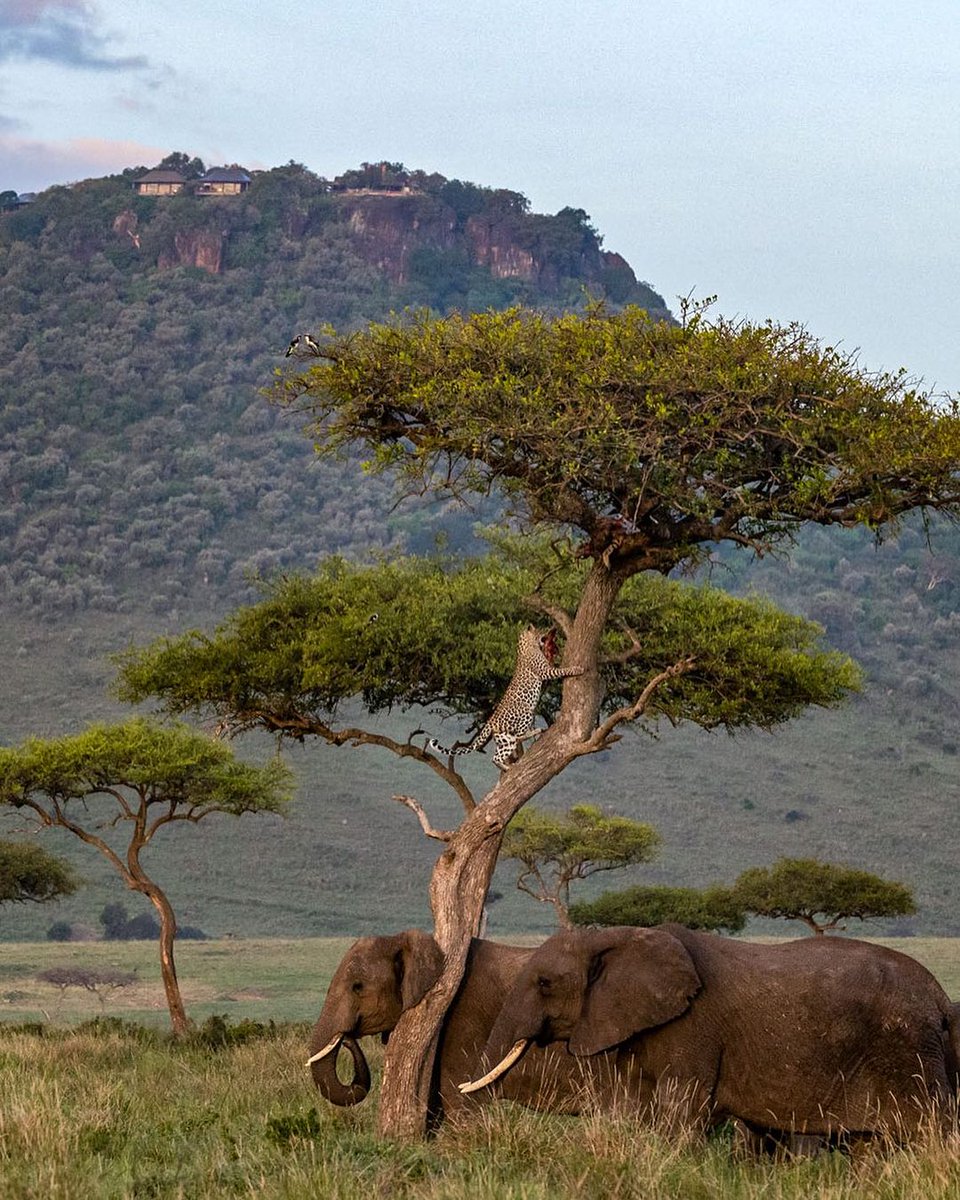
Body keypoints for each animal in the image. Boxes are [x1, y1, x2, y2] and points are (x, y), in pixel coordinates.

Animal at [427, 628, 585, 768]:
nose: (549, 631)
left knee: (497, 756)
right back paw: (536, 732)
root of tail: (491, 720)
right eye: (541, 630)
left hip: (505, 739)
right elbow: (561, 670)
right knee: (520, 736)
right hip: (526, 712)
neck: (525, 646)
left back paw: (507, 767)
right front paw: (577, 669)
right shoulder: (545, 671)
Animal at [458, 921, 960, 1137]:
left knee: (926, 1133)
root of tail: (939, 996)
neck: (616, 935)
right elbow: (636, 1105)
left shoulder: (693, 1026)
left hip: (907, 1050)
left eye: (544, 983)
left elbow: (680, 1108)